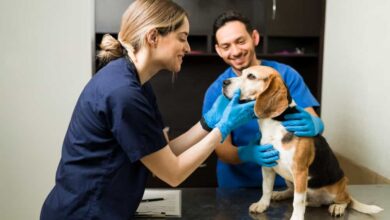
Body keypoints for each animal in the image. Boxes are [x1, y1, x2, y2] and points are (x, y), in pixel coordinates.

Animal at [221, 66, 382, 220]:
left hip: (335, 189)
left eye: (251, 76)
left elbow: (297, 201)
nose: (224, 82)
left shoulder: (300, 171)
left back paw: (338, 207)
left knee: (345, 200)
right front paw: (262, 204)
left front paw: (297, 217)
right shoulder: (267, 165)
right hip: (290, 180)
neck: (275, 123)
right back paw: (280, 194)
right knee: (296, 193)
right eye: (241, 73)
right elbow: (265, 188)